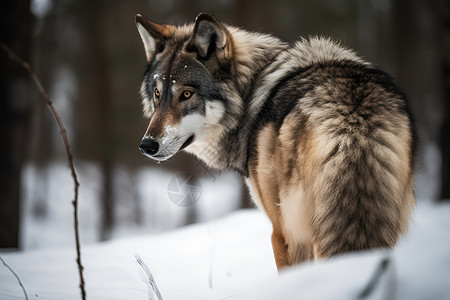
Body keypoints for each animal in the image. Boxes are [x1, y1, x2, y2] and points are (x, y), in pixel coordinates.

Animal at [135, 12, 416, 270]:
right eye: (158, 93)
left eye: (186, 94)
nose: (147, 146)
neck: (249, 94)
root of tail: (352, 119)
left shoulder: (279, 234)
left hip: (294, 232)